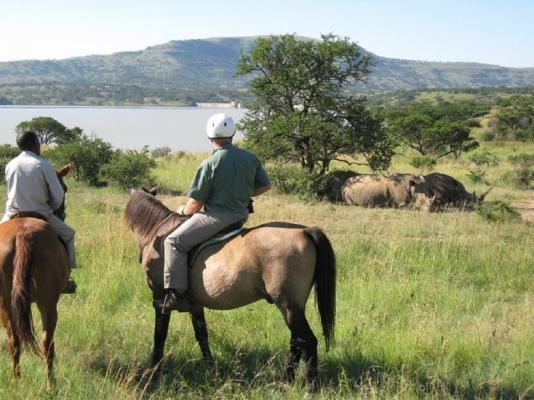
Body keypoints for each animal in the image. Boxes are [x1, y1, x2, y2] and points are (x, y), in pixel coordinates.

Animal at [0, 164, 71, 382]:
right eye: (64, 188)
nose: (62, 212)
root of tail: (23, 234)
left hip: (5, 303)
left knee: (14, 341)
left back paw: (17, 381)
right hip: (47, 302)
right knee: (47, 342)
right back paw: (50, 382)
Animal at [123, 188, 338, 390]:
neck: (158, 232)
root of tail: (304, 231)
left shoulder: (160, 300)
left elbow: (159, 336)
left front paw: (153, 371)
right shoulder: (195, 306)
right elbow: (202, 336)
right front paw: (211, 369)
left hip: (288, 306)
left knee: (308, 341)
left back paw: (311, 387)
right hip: (290, 308)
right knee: (297, 341)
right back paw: (287, 380)